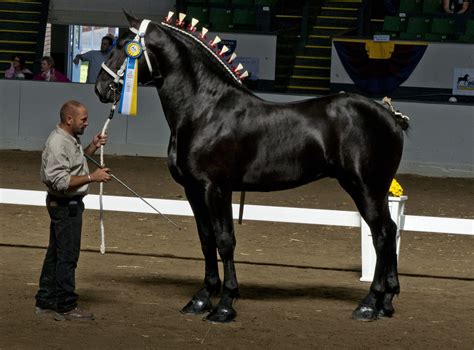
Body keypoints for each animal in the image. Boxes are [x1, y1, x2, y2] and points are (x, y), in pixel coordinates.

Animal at [95, 12, 408, 324]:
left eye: (123, 46)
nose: (100, 87)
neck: (205, 111)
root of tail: (390, 116)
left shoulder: (216, 189)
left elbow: (224, 241)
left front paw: (225, 305)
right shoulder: (194, 190)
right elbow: (206, 239)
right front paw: (201, 299)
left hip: (366, 188)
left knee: (381, 235)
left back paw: (369, 304)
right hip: (375, 190)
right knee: (390, 230)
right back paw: (387, 301)